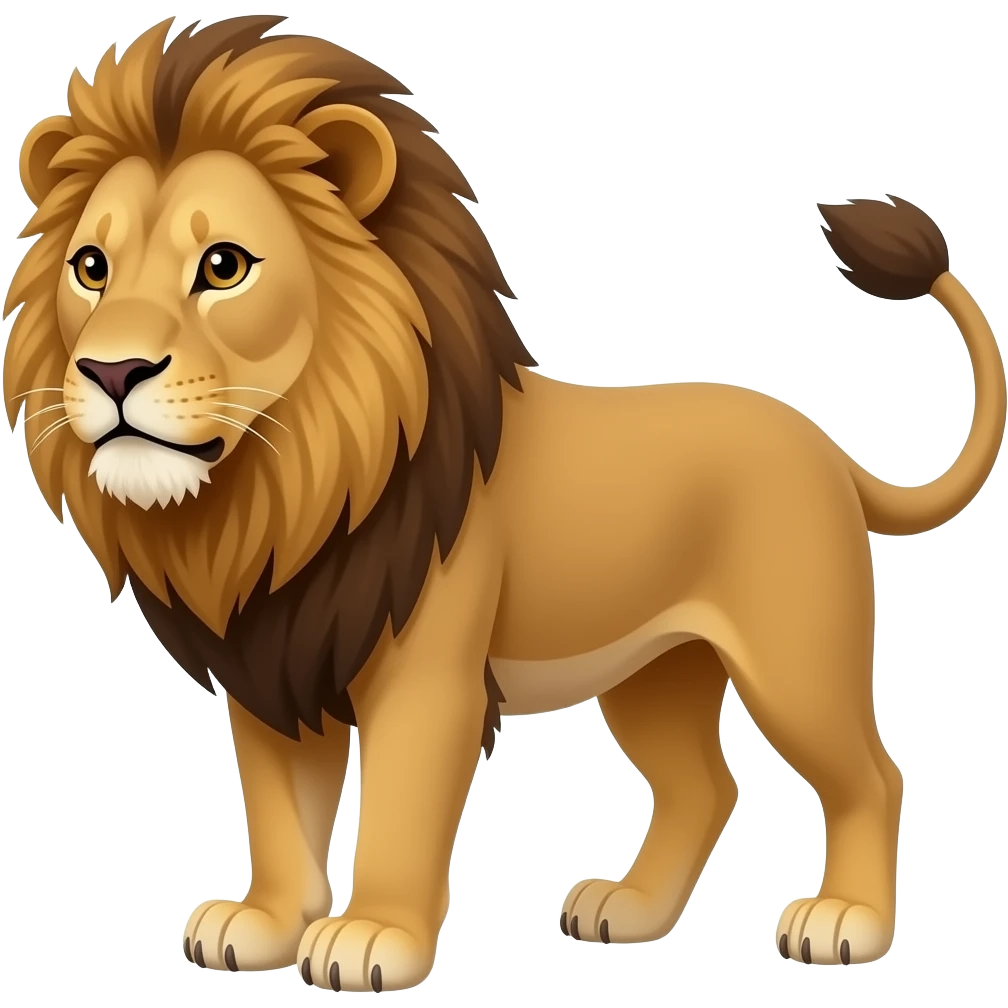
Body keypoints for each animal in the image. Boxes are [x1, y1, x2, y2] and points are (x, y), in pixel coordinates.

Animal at [3, 14, 1004, 989]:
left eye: (222, 266)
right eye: (91, 266)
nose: (111, 370)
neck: (283, 489)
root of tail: (830, 451)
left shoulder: (423, 676)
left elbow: (401, 809)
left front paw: (373, 937)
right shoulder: (273, 665)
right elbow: (280, 811)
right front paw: (262, 925)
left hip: (795, 658)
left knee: (871, 775)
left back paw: (847, 921)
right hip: (655, 669)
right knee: (705, 786)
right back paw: (629, 911)